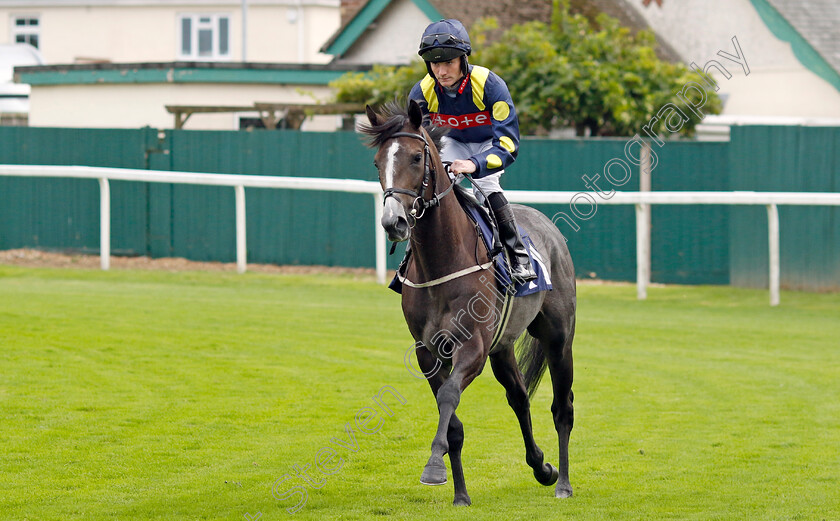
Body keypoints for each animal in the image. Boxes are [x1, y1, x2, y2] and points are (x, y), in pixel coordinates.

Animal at [358, 98, 576, 504]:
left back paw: (564, 483)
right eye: (378, 162)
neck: (442, 260)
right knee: (519, 397)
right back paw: (542, 467)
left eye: (416, 157)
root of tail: (547, 225)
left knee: (562, 407)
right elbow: (453, 421)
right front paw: (460, 493)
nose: (393, 222)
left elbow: (449, 396)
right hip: (502, 346)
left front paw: (433, 468)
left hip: (558, 338)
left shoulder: (471, 346)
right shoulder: (428, 351)